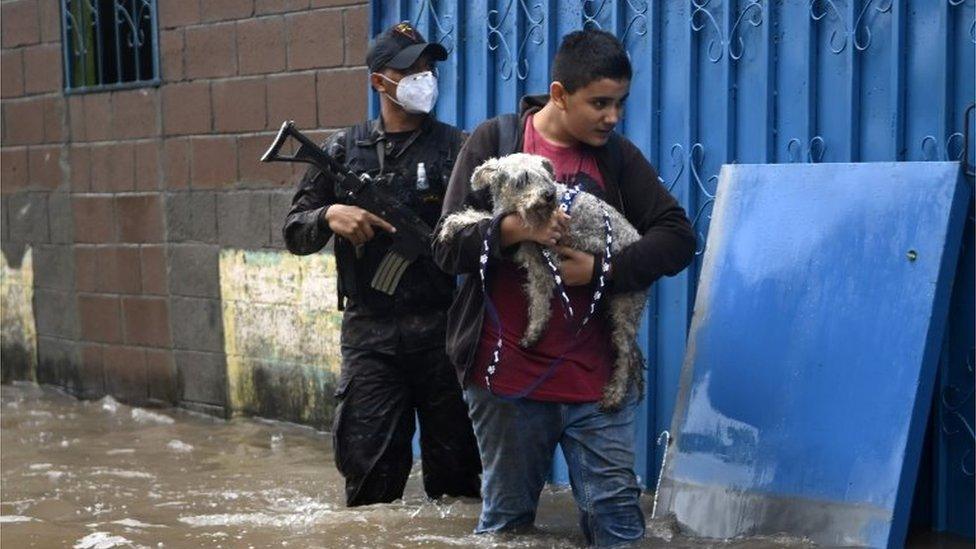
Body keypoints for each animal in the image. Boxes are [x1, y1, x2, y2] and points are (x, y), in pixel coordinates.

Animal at [438, 152, 644, 408]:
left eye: (546, 176)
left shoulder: (542, 262)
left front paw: (533, 333)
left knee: (625, 353)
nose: (549, 195)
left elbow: (539, 302)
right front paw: (452, 224)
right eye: (522, 179)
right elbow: (484, 217)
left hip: (625, 306)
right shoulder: (519, 240)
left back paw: (615, 393)